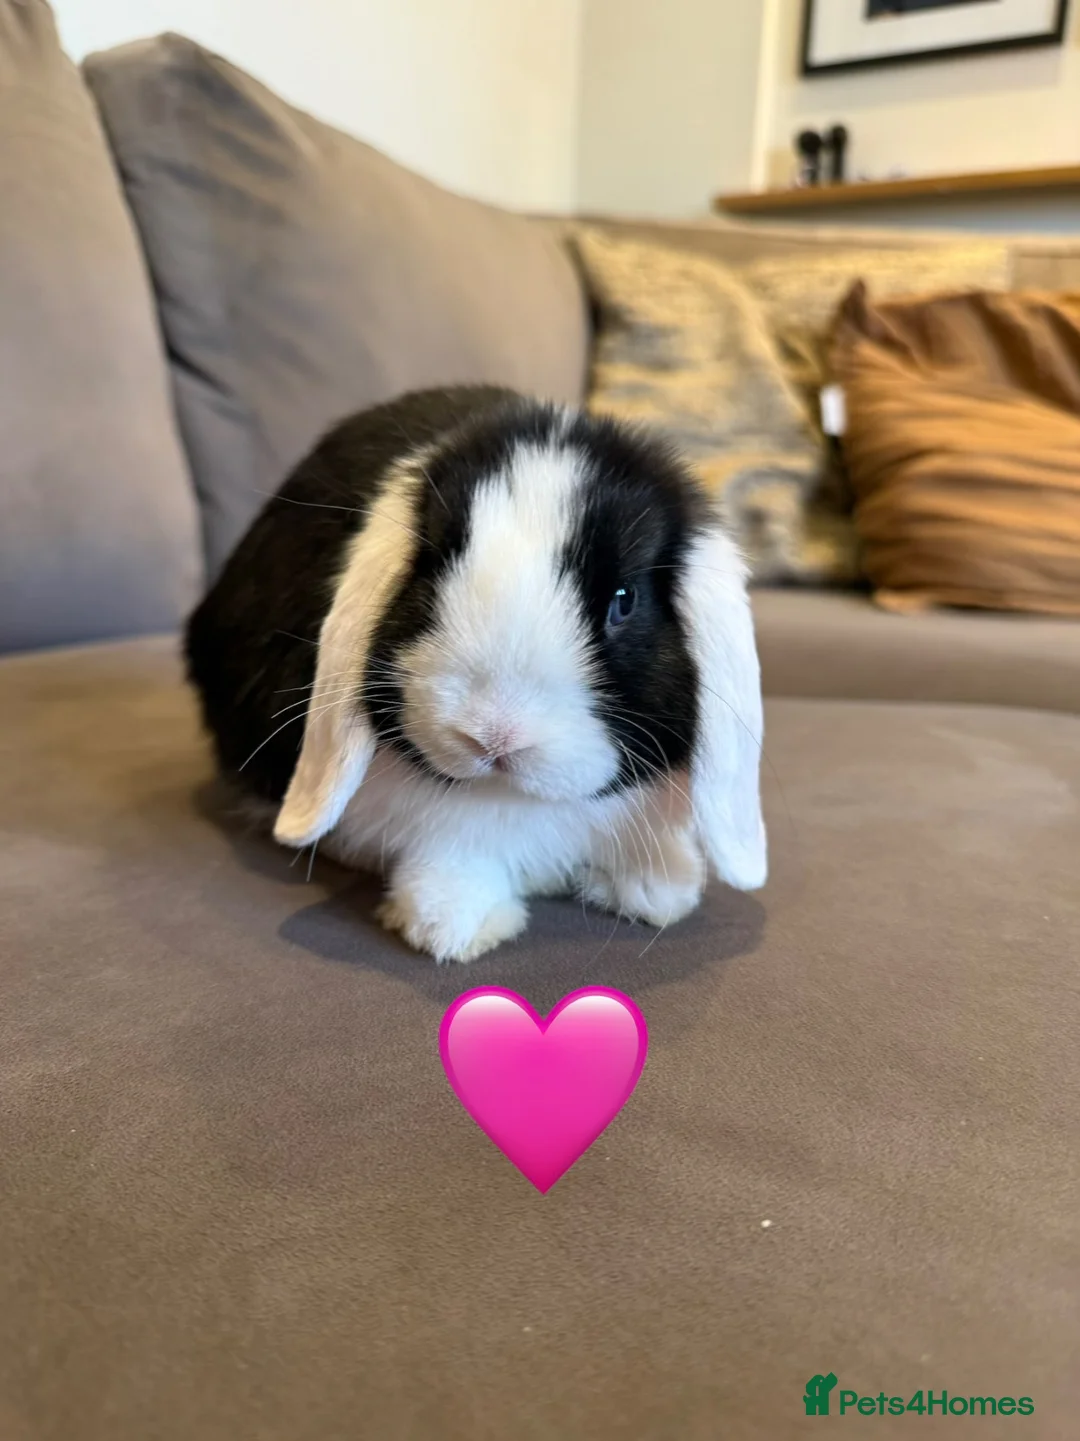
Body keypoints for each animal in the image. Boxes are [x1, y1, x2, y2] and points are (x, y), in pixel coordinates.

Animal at [185, 384, 767, 963]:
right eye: (432, 574)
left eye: (624, 601)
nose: (494, 736)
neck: (511, 796)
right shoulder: (441, 829)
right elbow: (455, 849)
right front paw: (455, 929)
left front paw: (661, 893)